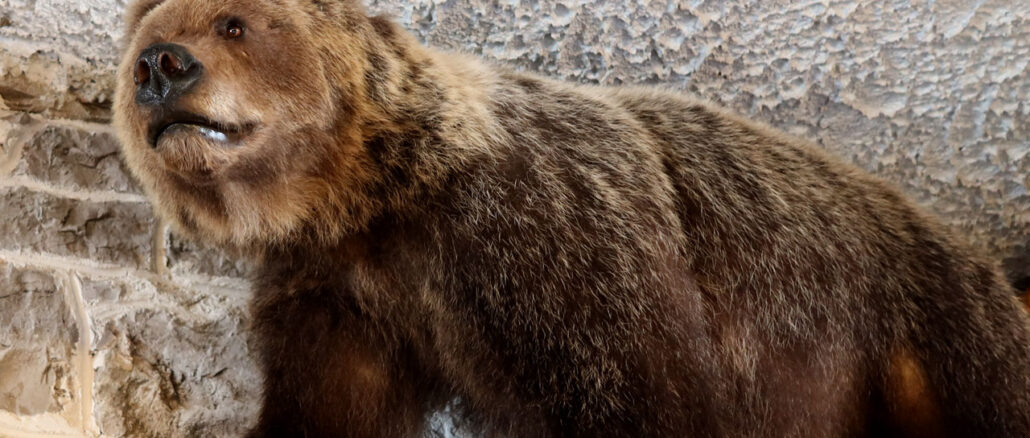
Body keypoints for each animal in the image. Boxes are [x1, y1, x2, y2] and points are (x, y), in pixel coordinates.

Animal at [112, 0, 1030, 436]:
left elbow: (644, 393)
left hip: (939, 339)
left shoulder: (548, 237)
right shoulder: (341, 298)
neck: (371, 198)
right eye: (144, 44)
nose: (163, 66)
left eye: (234, 22)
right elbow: (327, 410)